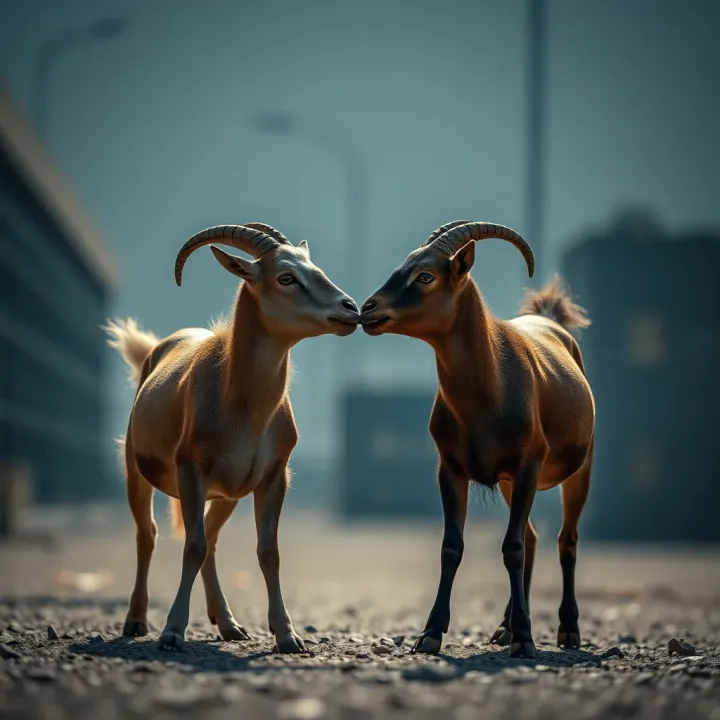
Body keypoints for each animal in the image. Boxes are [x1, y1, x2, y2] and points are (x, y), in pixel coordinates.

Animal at [104, 223, 359, 653]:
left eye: (316, 268)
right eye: (285, 277)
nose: (350, 309)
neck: (238, 403)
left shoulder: (273, 476)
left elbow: (267, 552)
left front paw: (288, 636)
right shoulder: (191, 470)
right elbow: (191, 546)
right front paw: (172, 632)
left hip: (226, 494)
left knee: (210, 539)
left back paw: (228, 625)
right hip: (138, 474)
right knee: (149, 535)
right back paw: (136, 621)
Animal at [360, 221, 594, 659]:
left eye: (425, 275)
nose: (368, 309)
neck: (490, 386)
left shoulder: (527, 465)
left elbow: (511, 547)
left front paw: (525, 639)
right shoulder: (452, 469)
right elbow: (453, 546)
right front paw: (430, 634)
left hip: (577, 471)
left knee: (564, 539)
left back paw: (568, 630)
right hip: (507, 483)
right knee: (532, 537)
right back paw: (504, 627)